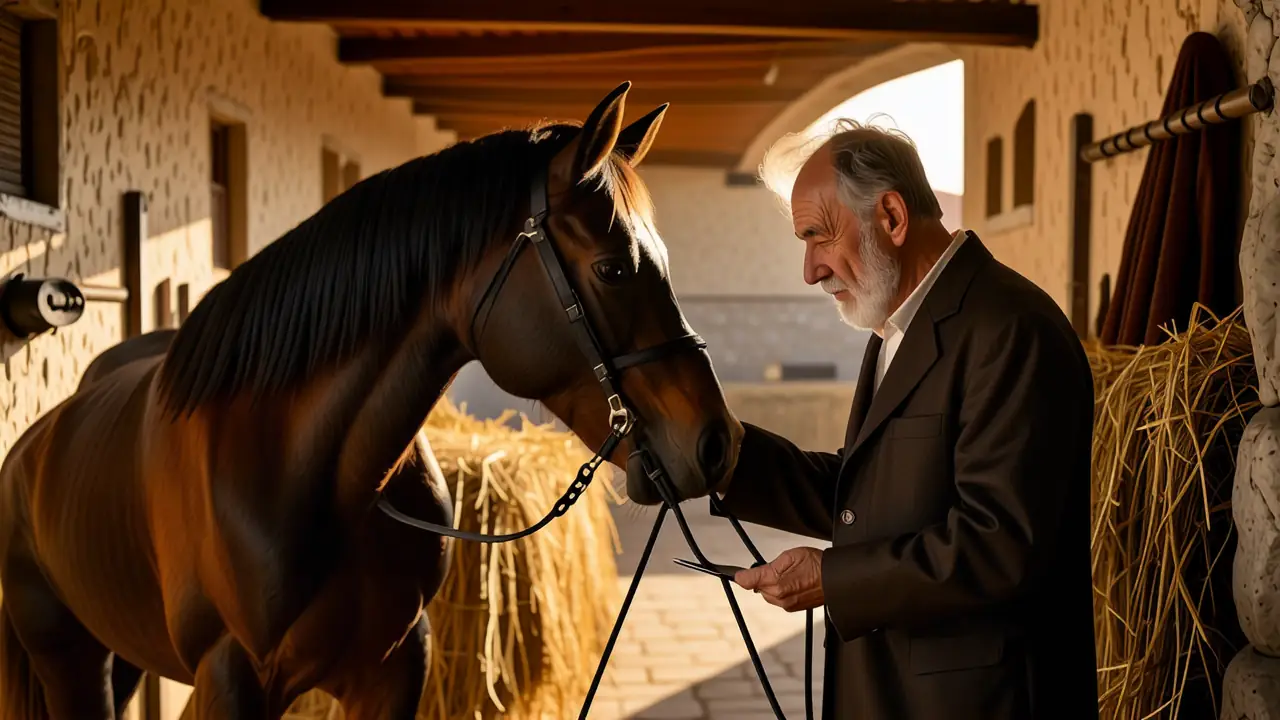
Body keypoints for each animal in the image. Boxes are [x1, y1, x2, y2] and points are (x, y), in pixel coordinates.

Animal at [0, 81, 745, 719]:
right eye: (614, 268)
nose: (719, 442)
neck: (311, 478)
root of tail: (34, 444)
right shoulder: (229, 680)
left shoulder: (392, 672)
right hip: (67, 658)